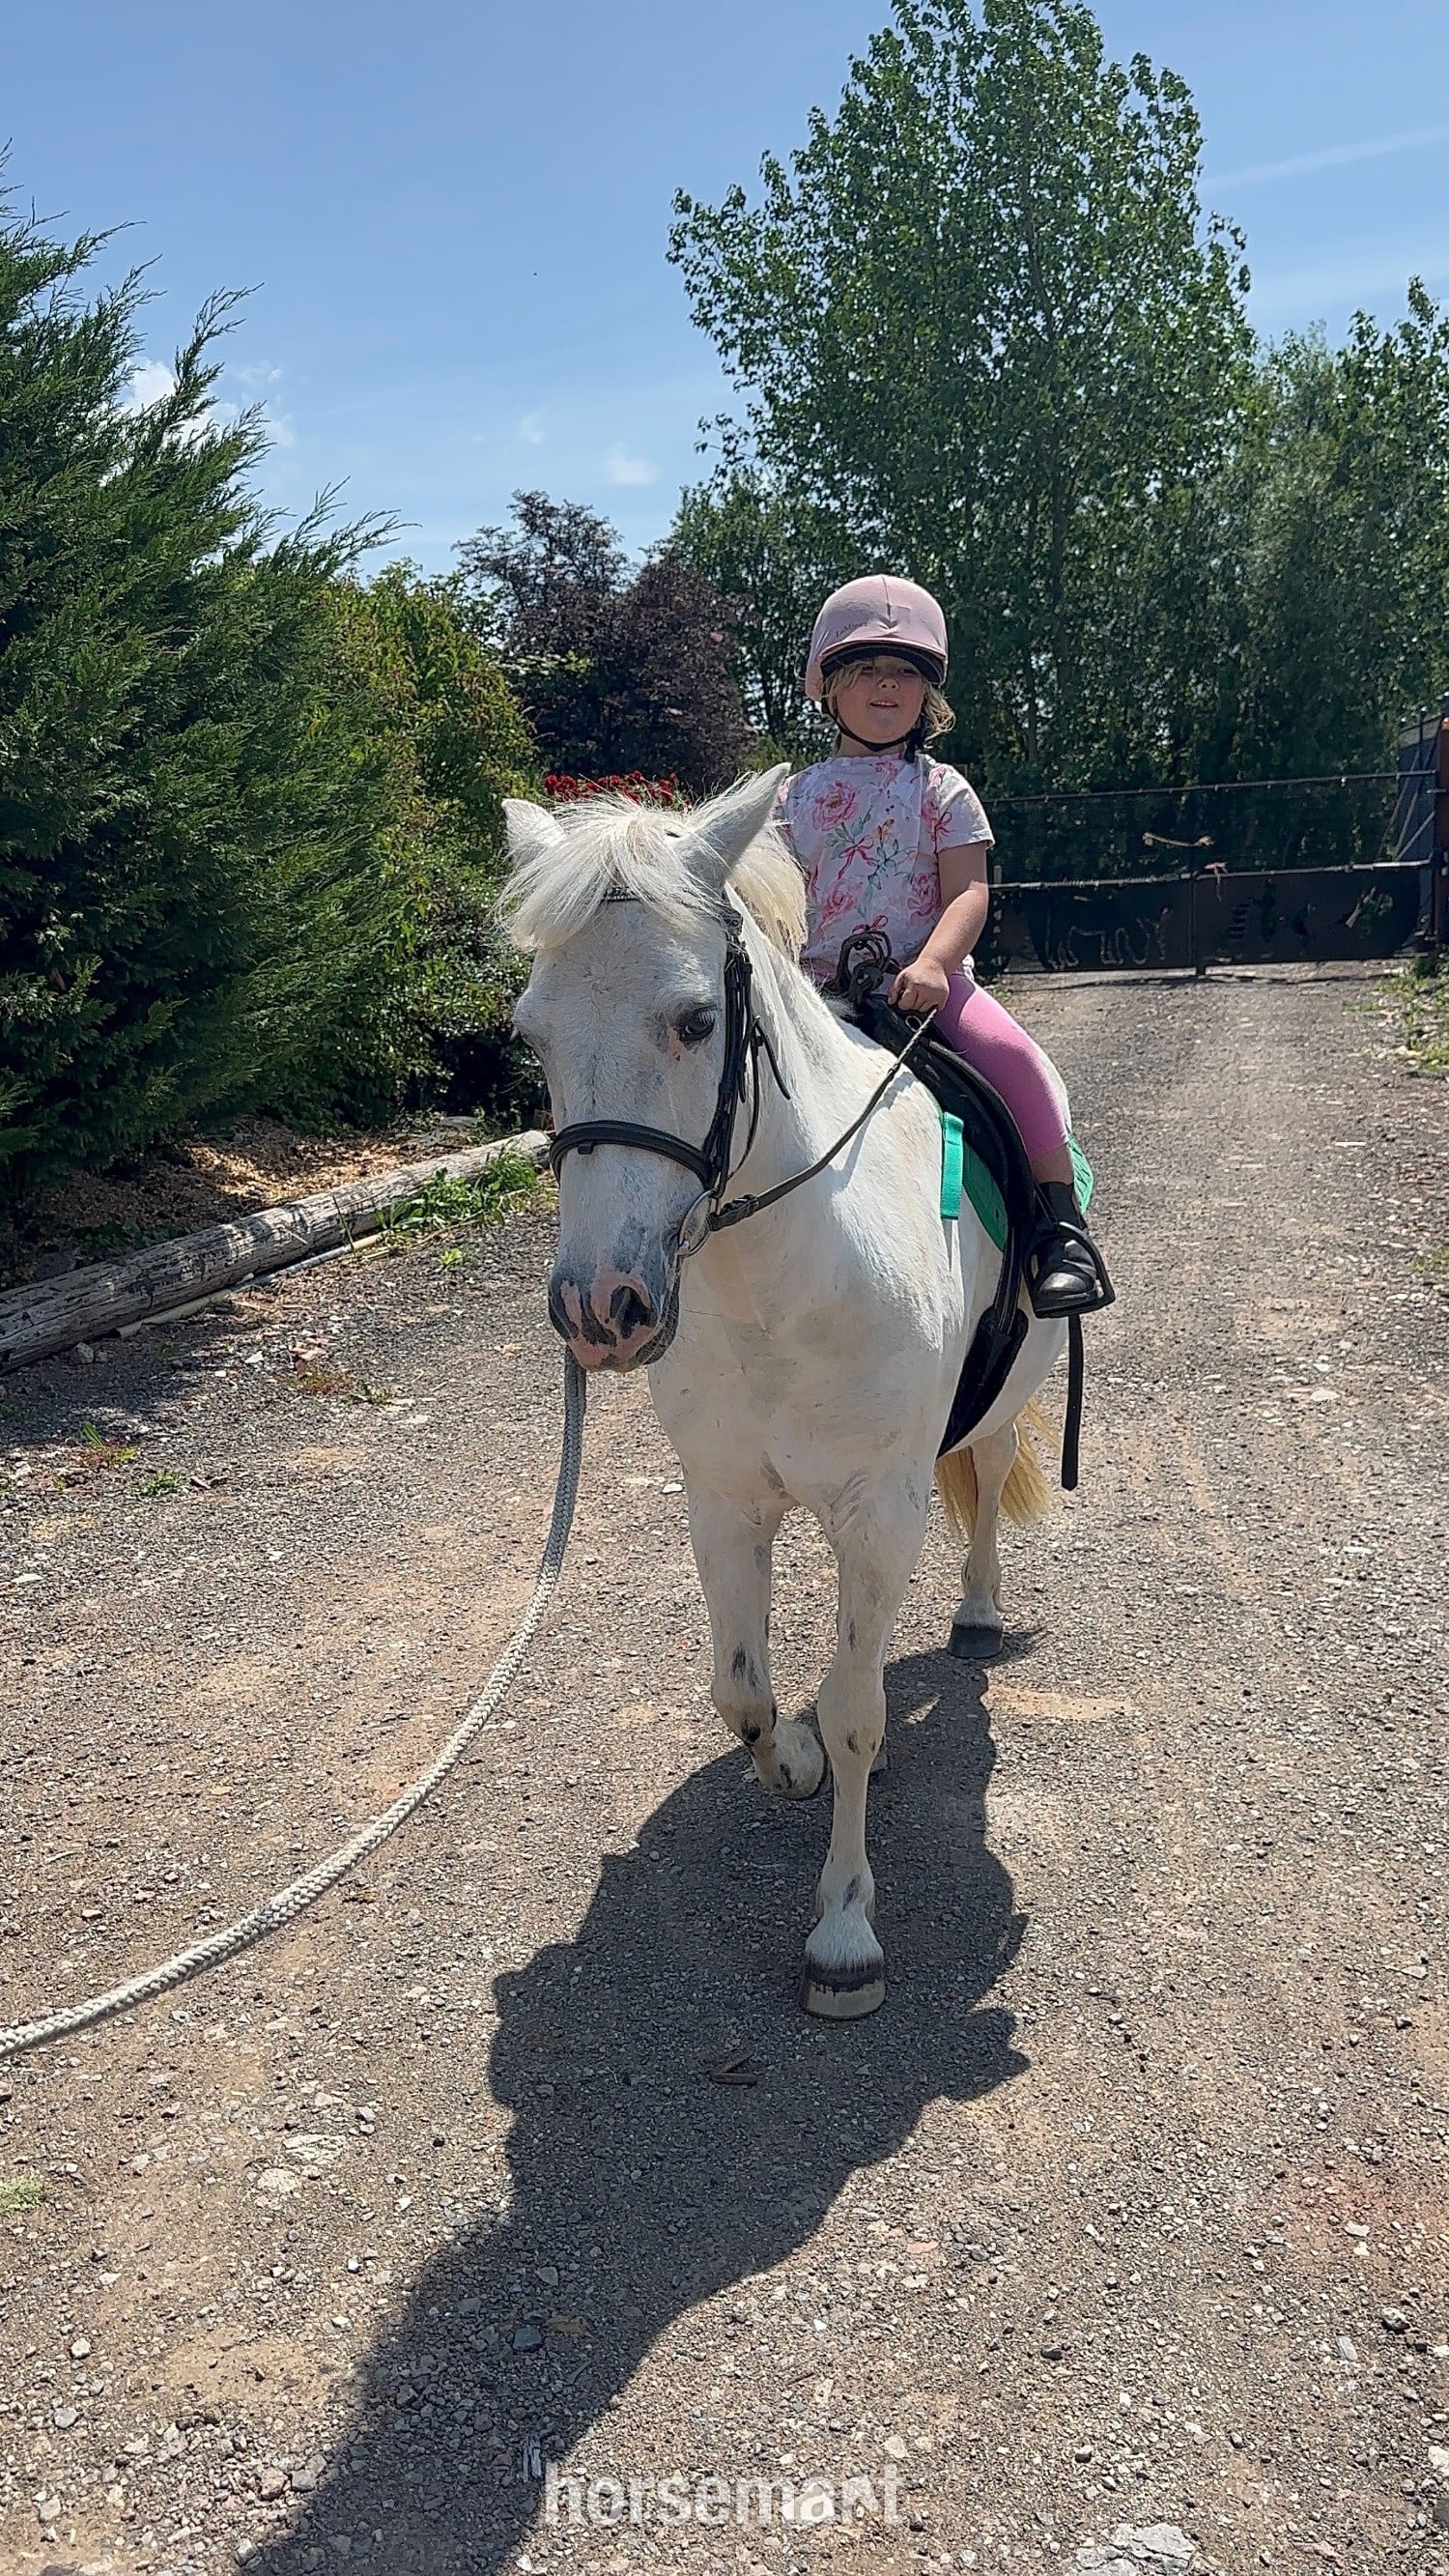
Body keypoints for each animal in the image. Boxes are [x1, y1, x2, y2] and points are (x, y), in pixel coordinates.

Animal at [502, 765, 1068, 2019]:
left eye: (694, 1019)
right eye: (533, 1034)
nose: (598, 1307)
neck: (781, 1276)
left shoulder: (877, 1506)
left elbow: (856, 1708)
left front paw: (845, 1927)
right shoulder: (725, 1501)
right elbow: (744, 1691)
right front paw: (797, 1759)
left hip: (999, 1406)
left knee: (989, 1477)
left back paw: (979, 1608)